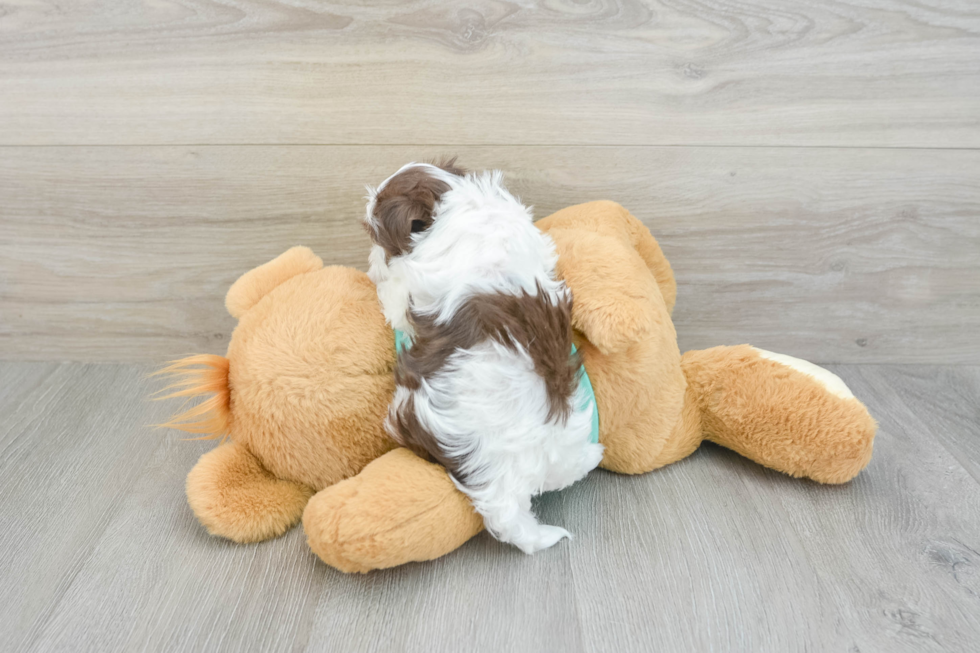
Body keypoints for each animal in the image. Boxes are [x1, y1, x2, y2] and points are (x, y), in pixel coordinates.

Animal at [364, 159, 600, 552]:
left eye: (376, 234)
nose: (370, 261)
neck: (460, 201)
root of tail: (508, 488)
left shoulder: (408, 289)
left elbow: (394, 299)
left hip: (410, 413)